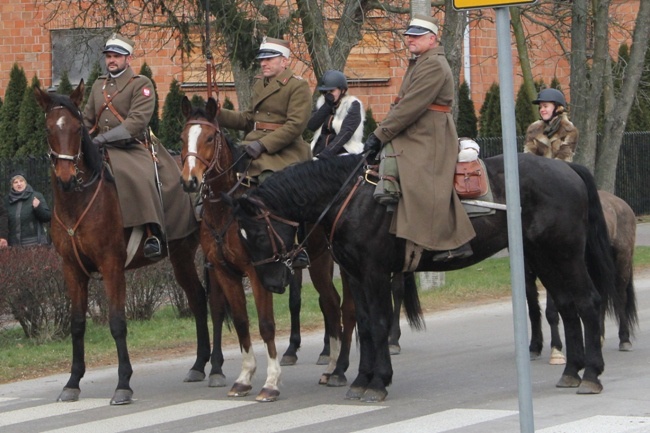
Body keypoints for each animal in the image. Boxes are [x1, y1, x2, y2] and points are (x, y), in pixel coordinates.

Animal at [34, 82, 213, 404]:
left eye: (78, 128)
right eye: (48, 128)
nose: (66, 178)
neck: (78, 201)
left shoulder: (112, 265)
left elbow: (117, 322)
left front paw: (123, 384)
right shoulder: (72, 270)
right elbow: (76, 324)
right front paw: (72, 382)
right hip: (181, 256)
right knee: (197, 298)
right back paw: (198, 365)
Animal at [177, 96, 354, 400]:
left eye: (210, 137)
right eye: (182, 137)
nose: (191, 180)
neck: (227, 209)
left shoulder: (259, 272)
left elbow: (266, 324)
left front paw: (271, 382)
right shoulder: (225, 272)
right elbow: (241, 322)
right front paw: (244, 377)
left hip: (330, 260)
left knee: (342, 307)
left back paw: (338, 369)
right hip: (320, 262)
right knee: (331, 304)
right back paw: (331, 368)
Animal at [230, 153, 616, 402]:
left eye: (259, 233)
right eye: (242, 237)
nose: (272, 283)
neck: (352, 200)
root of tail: (565, 167)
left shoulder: (374, 273)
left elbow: (379, 324)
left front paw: (378, 382)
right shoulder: (354, 275)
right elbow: (365, 326)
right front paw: (362, 379)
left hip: (563, 255)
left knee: (587, 303)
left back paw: (592, 374)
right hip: (544, 258)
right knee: (567, 307)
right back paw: (572, 371)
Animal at [528, 189, 636, 362]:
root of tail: (623, 204)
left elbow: (552, 311)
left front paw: (556, 349)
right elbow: (533, 309)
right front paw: (534, 348)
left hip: (622, 261)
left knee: (620, 298)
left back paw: (624, 340)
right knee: (602, 299)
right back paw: (599, 338)